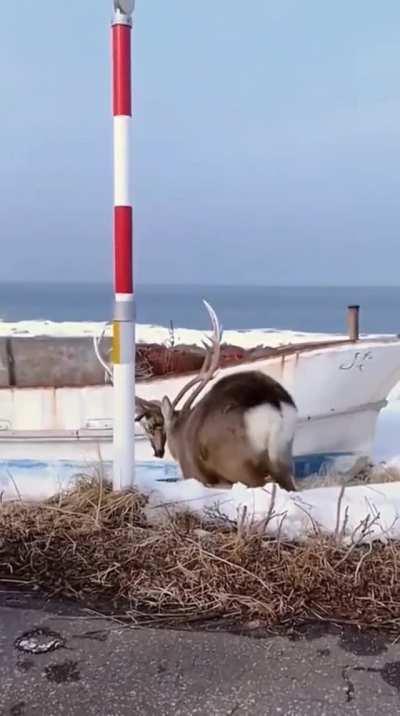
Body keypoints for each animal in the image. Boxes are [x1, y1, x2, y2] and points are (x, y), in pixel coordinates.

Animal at [135, 301, 298, 492]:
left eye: (160, 428)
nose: (158, 452)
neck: (180, 429)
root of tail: (273, 403)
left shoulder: (192, 471)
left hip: (239, 462)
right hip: (284, 453)